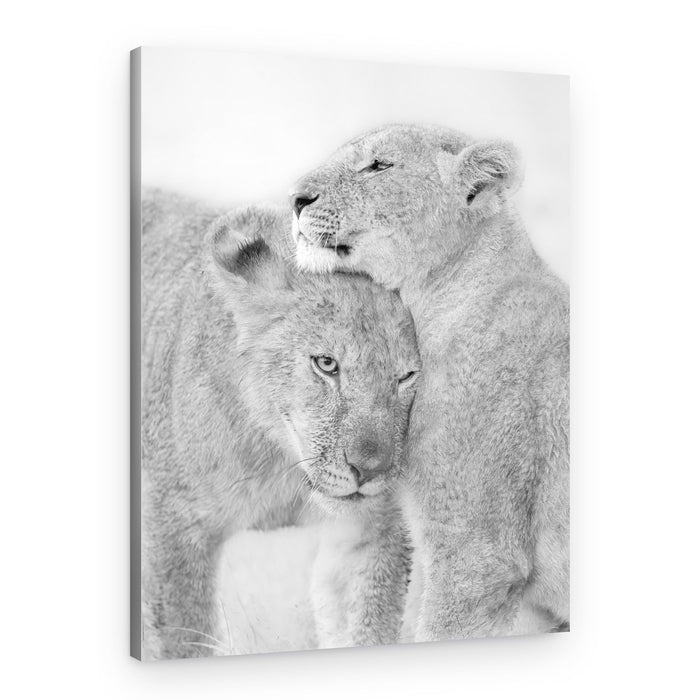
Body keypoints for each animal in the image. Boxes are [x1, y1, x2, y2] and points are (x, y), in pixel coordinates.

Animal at [140, 190, 420, 659]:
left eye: (407, 376)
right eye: (326, 364)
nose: (369, 471)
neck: (282, 463)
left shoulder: (370, 530)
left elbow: (366, 625)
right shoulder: (176, 526)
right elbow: (185, 638)